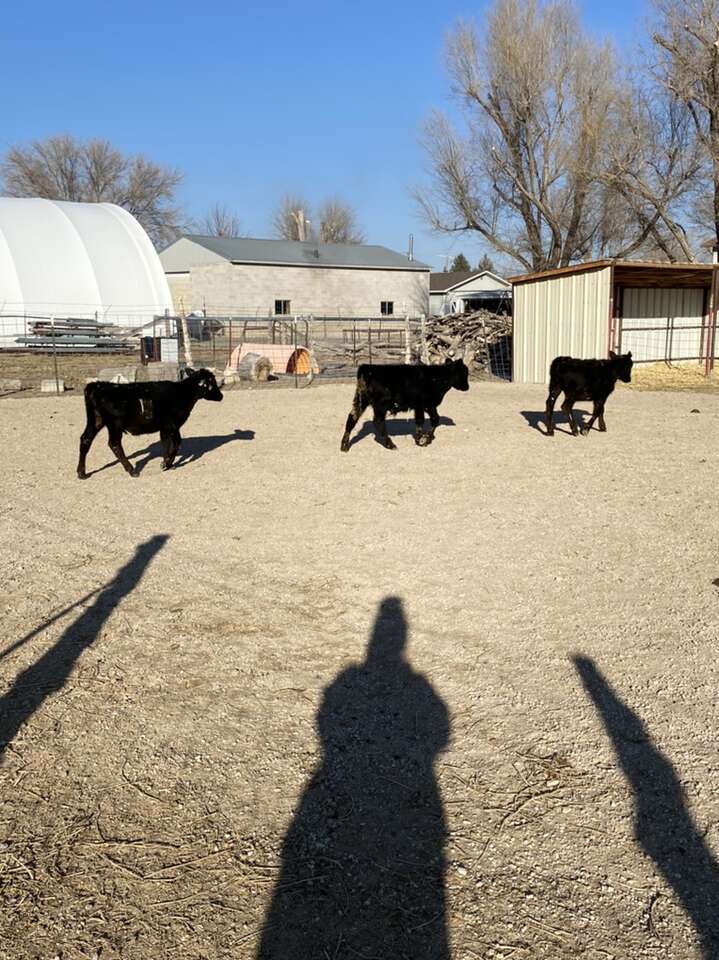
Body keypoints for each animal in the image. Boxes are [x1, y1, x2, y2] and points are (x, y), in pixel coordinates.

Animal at [77, 368, 223, 479]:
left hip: (96, 420)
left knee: (86, 439)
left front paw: (166, 463)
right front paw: (167, 463)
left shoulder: (164, 427)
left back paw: (81, 473)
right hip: (115, 424)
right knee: (114, 444)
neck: (182, 393)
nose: (221, 396)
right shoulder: (172, 424)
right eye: (212, 383)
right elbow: (177, 442)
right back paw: (132, 470)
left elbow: (165, 443)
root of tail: (98, 385)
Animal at [340, 359, 470, 452]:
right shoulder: (422, 405)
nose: (467, 387)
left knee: (352, 418)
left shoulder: (429, 405)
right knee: (378, 422)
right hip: (380, 405)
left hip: (361, 400)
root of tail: (367, 368)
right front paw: (421, 440)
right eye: (464, 373)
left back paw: (344, 445)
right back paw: (390, 444)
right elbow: (421, 420)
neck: (436, 378)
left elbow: (435, 419)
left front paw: (427, 438)